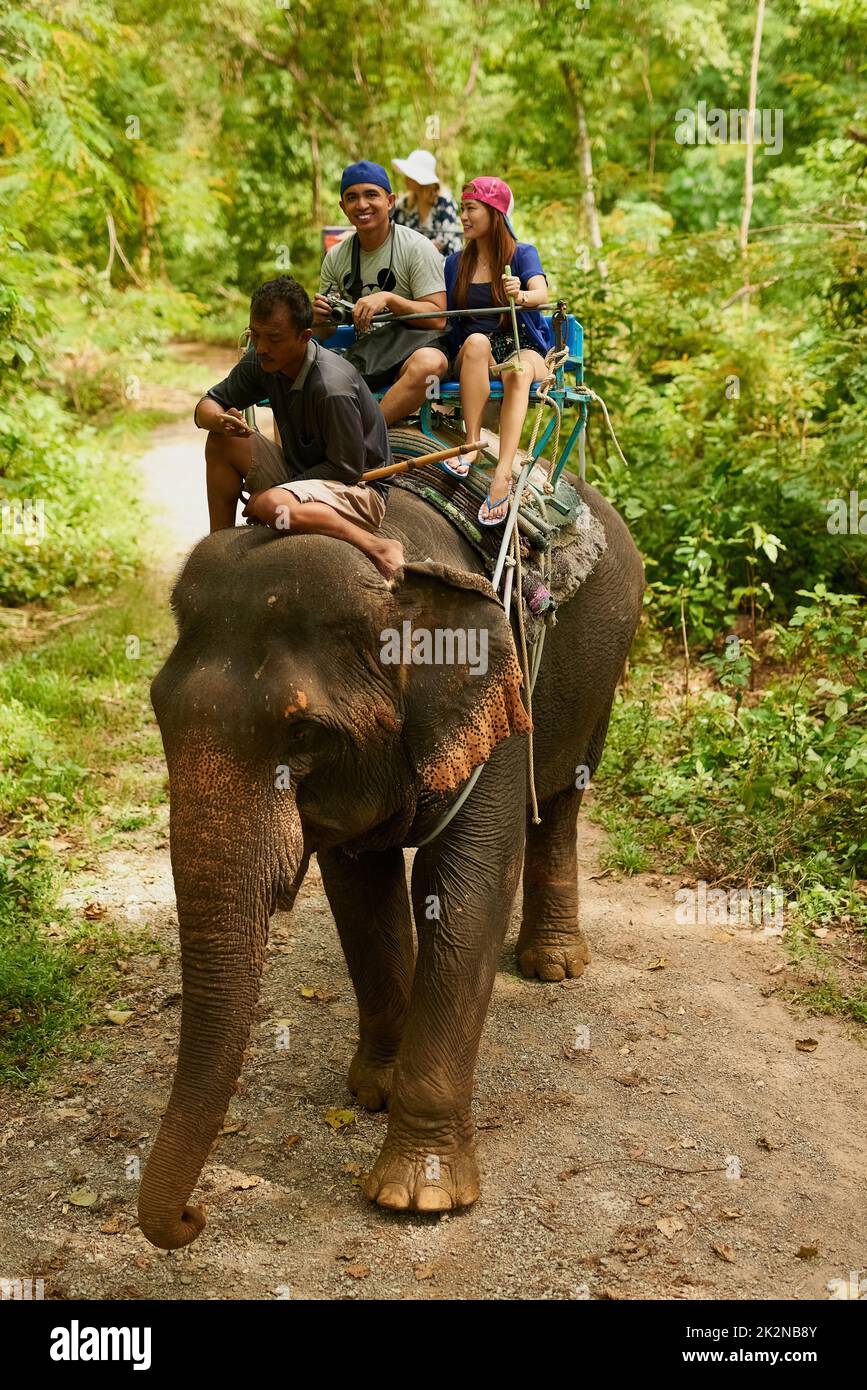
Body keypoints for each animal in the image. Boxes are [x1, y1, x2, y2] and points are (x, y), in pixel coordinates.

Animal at [136, 475, 644, 1251]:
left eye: (303, 732)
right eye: (159, 712)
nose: (192, 1217)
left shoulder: (495, 697)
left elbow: (467, 888)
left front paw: (418, 1196)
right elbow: (359, 892)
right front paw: (373, 1089)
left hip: (606, 663)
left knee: (564, 796)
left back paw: (552, 967)